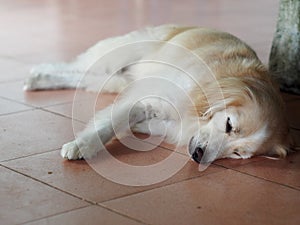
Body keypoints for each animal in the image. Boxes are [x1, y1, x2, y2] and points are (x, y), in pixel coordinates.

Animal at [24, 24, 292, 166]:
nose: (198, 156)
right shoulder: (147, 98)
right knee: (73, 65)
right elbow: (109, 124)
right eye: (229, 125)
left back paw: (39, 80)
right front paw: (81, 146)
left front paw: (139, 127)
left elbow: (154, 126)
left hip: (112, 80)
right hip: (115, 57)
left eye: (237, 154)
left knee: (79, 76)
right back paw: (36, 74)